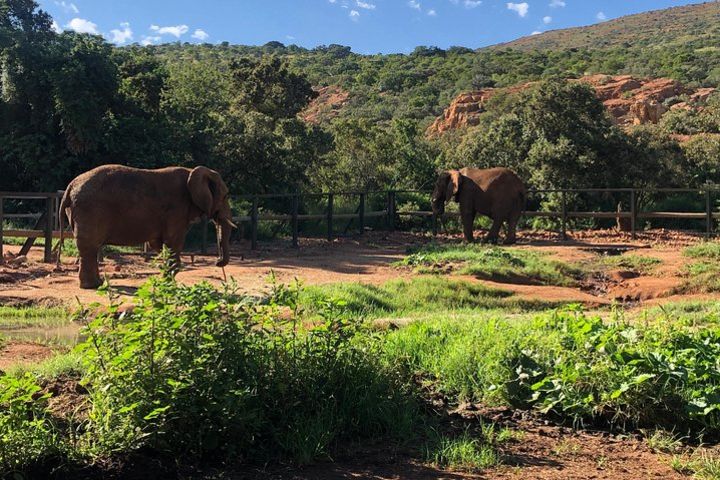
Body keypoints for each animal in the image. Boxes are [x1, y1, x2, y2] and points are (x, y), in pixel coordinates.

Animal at [59, 165, 233, 288]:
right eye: (225, 196)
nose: (218, 262)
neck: (192, 171)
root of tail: (70, 186)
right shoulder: (177, 209)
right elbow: (173, 242)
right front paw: (169, 286)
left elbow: (159, 243)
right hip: (90, 210)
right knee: (90, 247)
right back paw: (93, 286)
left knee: (89, 248)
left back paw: (98, 284)